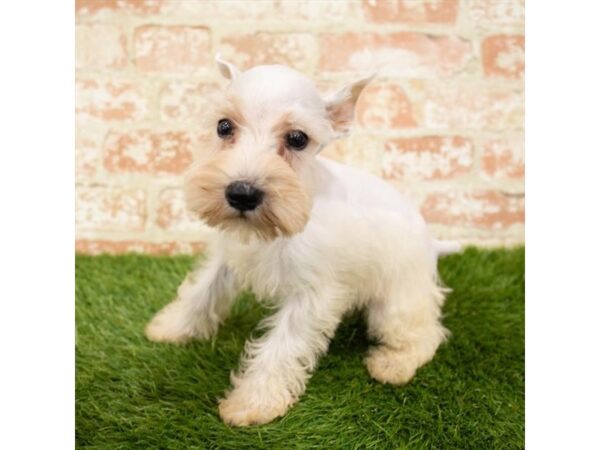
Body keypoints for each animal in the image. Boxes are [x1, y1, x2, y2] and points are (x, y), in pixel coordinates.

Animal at [145, 56, 460, 426]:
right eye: (223, 126)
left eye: (297, 138)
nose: (242, 193)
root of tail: (432, 243)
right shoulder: (228, 258)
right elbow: (201, 293)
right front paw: (172, 327)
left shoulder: (313, 295)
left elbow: (281, 346)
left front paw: (252, 403)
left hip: (396, 305)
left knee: (426, 334)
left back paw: (392, 364)